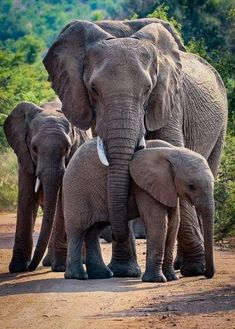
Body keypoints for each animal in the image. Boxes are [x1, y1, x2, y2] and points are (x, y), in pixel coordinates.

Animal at [63, 139, 215, 282]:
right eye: (191, 186)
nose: (206, 274)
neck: (172, 152)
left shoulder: (169, 187)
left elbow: (174, 223)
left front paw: (171, 278)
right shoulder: (143, 186)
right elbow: (158, 222)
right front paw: (156, 280)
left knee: (94, 231)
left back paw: (102, 275)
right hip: (75, 190)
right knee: (77, 230)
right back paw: (77, 276)